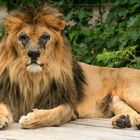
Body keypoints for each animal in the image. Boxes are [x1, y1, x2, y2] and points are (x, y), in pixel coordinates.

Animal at [0, 5, 140, 130]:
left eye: (45, 37)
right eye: (23, 37)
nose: (33, 53)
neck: (34, 78)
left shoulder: (68, 105)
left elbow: (54, 114)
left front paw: (30, 118)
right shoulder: (10, 98)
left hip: (132, 94)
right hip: (115, 100)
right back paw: (123, 120)